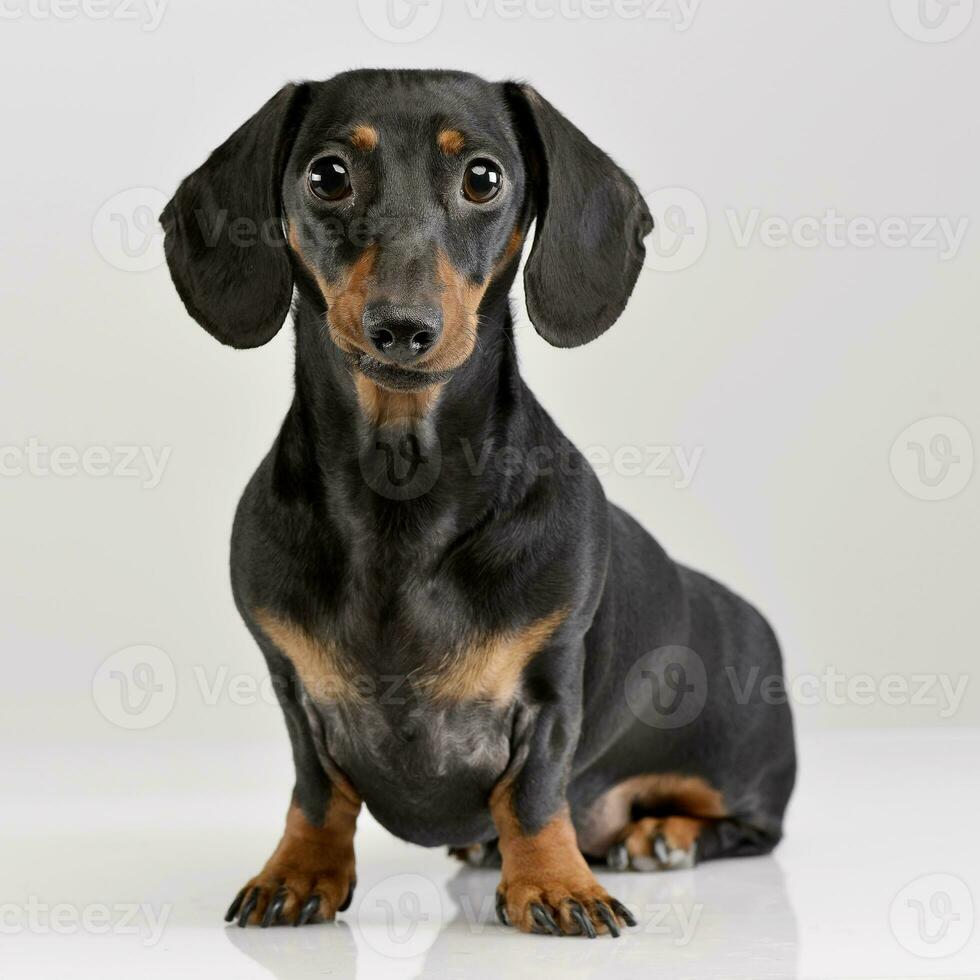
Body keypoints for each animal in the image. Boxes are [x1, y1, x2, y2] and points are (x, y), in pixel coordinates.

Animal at [163, 65, 796, 936]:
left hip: (739, 771)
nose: (402, 328)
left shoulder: (550, 684)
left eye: (484, 177)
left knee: (744, 826)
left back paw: (660, 835)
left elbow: (532, 794)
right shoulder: (294, 689)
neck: (401, 488)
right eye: (328, 175)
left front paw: (554, 885)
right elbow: (317, 793)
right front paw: (298, 872)